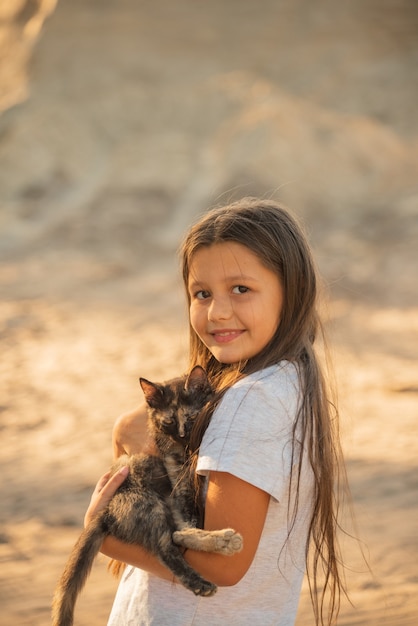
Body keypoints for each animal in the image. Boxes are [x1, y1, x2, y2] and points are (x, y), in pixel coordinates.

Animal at [51, 366, 242, 624]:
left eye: (191, 418)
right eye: (169, 421)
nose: (182, 434)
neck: (186, 449)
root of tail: (107, 511)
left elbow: (187, 516)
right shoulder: (174, 469)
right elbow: (186, 509)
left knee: (176, 535)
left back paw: (222, 541)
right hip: (149, 504)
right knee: (167, 545)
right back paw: (207, 571)